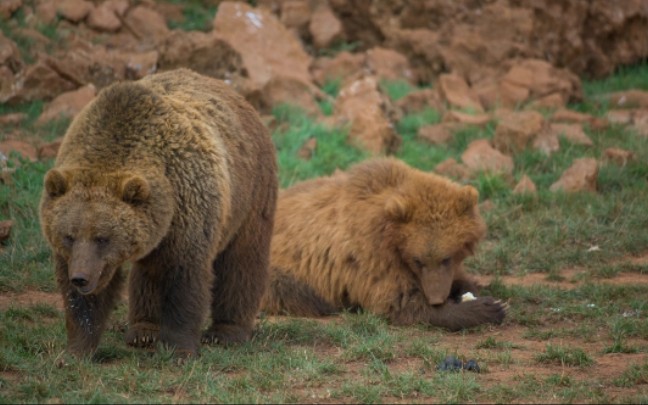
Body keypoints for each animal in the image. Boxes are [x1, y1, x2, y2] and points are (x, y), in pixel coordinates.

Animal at [39, 68, 278, 356]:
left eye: (102, 237)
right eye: (69, 236)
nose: (81, 279)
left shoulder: (187, 205)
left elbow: (184, 278)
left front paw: (179, 348)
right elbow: (83, 300)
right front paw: (75, 350)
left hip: (250, 192)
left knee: (241, 261)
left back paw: (227, 332)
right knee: (149, 271)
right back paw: (144, 330)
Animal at [262, 156, 506, 330]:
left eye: (446, 257)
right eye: (418, 260)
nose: (436, 299)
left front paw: (468, 291)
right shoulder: (371, 257)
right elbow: (398, 302)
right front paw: (489, 308)